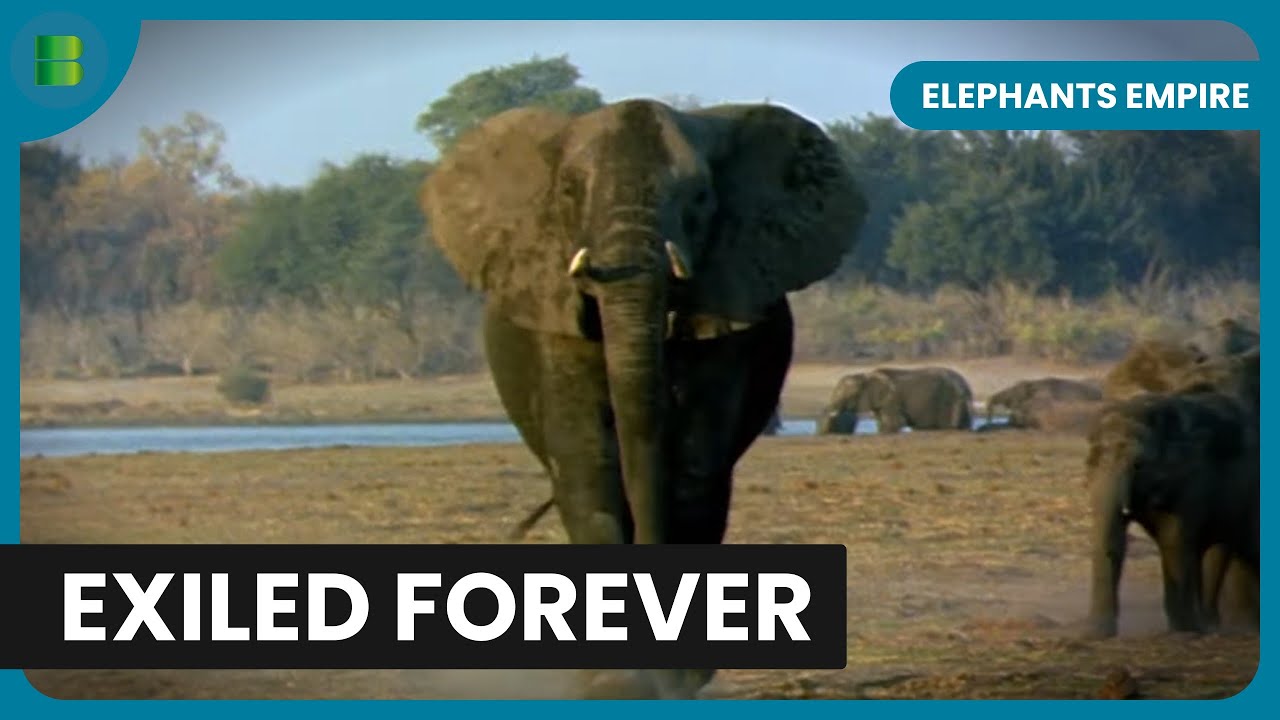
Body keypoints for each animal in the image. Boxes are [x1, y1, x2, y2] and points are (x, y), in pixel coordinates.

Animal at [422, 98, 865, 698]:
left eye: (700, 198)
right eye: (567, 192)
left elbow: (692, 471)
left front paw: (672, 678)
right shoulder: (555, 314)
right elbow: (589, 464)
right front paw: (616, 683)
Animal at [816, 367, 973, 435]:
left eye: (845, 394)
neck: (865, 375)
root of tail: (967, 386)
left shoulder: (891, 399)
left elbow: (894, 423)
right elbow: (882, 423)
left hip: (952, 401)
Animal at [1084, 389, 1259, 638]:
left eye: (1139, 464)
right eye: (1093, 460)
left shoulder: (1191, 480)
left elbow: (1173, 539)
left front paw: (1183, 631)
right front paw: (1096, 633)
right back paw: (1211, 626)